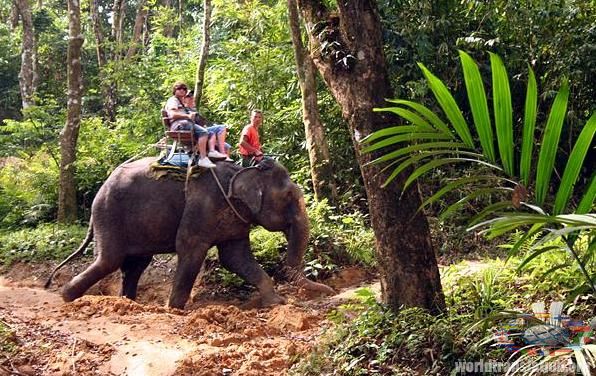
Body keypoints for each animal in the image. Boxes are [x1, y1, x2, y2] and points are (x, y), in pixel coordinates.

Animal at [45, 157, 336, 310]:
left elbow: (235, 258)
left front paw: (276, 302)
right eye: (288, 196)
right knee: (109, 260)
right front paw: (174, 309)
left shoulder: (235, 220)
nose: (330, 290)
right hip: (109, 213)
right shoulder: (202, 207)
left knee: (135, 264)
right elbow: (191, 249)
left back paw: (128, 303)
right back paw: (67, 297)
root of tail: (101, 188)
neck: (243, 170)